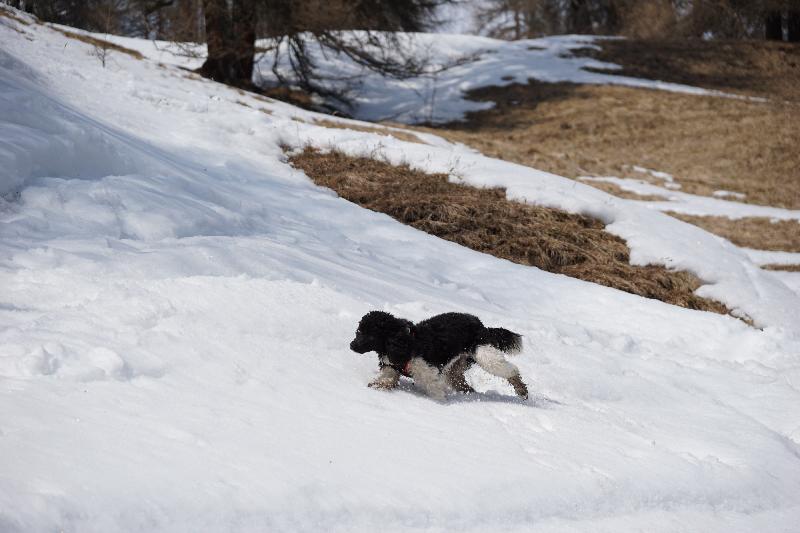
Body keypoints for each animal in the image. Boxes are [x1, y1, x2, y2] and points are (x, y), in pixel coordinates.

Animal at [350, 311, 528, 400]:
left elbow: (435, 392)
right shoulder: (392, 367)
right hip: (458, 365)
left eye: (369, 335)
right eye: (358, 331)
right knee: (459, 380)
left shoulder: (428, 374)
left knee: (510, 370)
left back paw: (521, 389)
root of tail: (481, 326)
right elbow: (386, 379)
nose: (351, 345)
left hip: (484, 354)